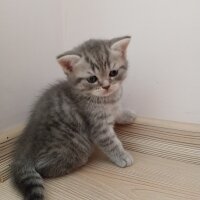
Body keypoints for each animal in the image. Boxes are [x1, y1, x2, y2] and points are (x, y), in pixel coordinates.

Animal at [11, 36, 136, 200]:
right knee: (42, 168)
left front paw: (127, 115)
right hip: (76, 146)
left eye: (113, 73)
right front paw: (122, 156)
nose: (106, 86)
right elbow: (110, 142)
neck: (107, 99)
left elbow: (117, 111)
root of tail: (24, 145)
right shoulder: (97, 126)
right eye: (92, 79)